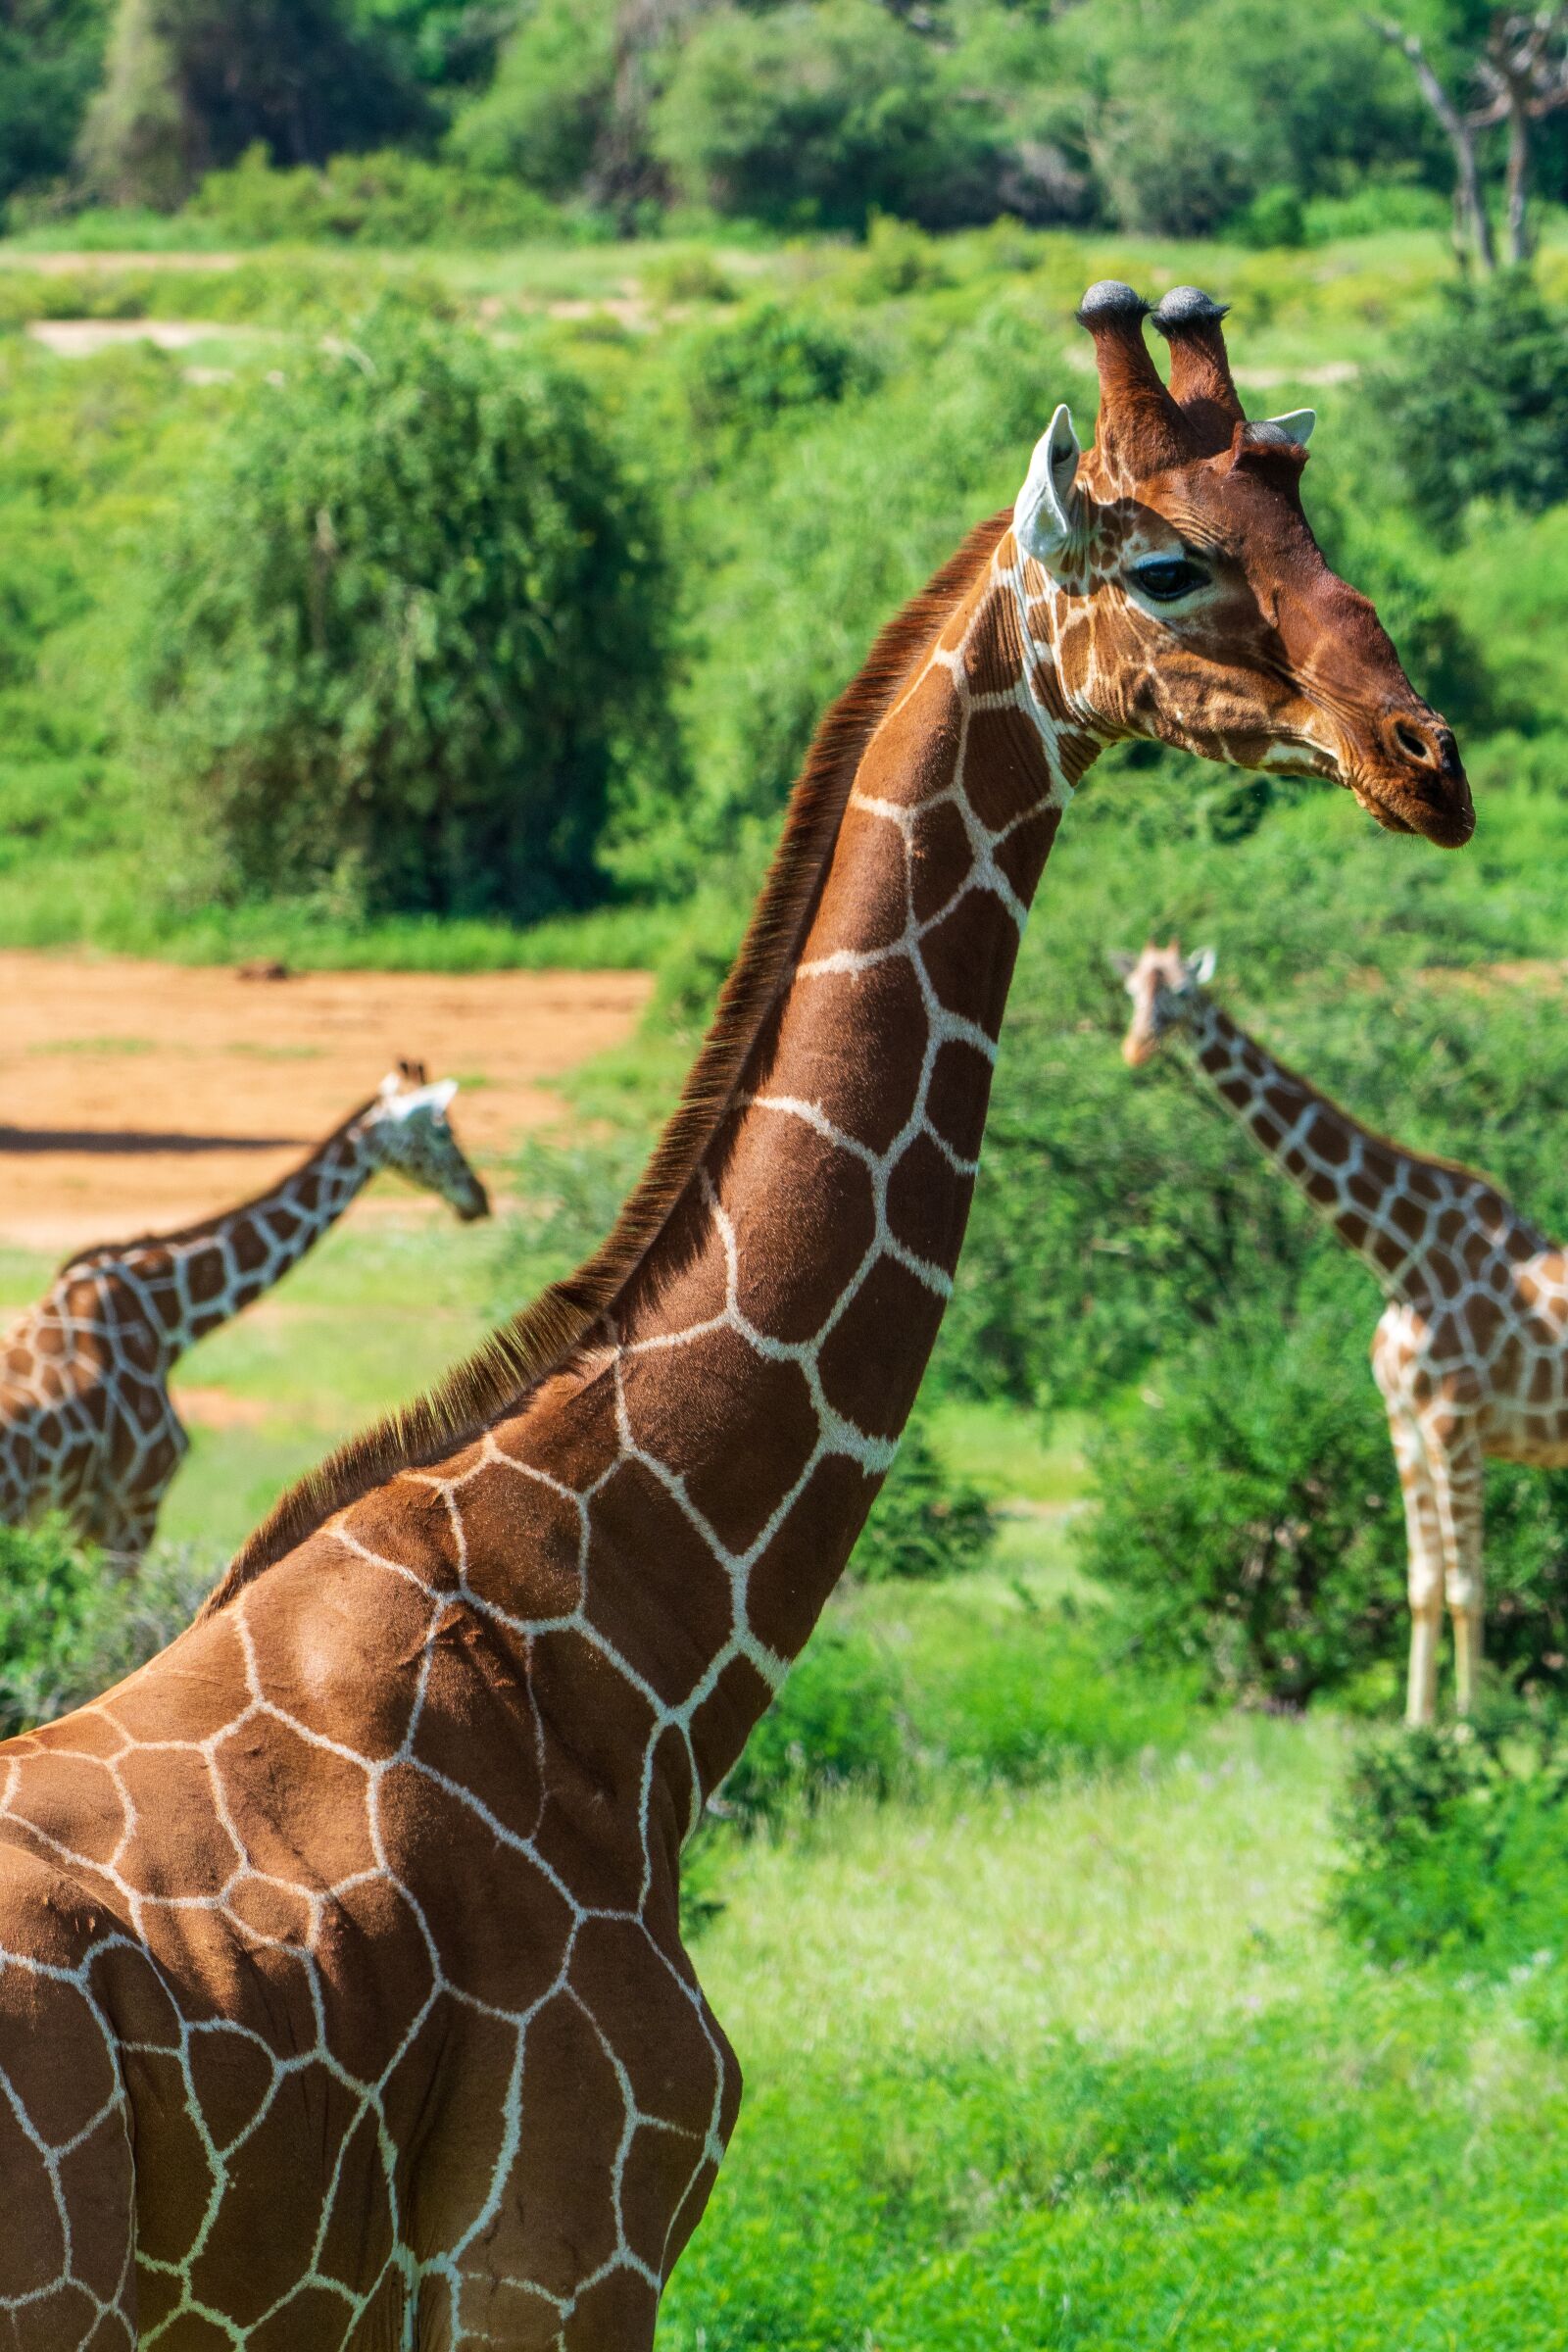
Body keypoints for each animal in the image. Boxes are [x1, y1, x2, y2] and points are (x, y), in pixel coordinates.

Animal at [1115, 939, 1560, 1727]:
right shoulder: (1405, 1422)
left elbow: (1468, 1585)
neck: (1400, 1259)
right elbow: (1423, 1583)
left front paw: (1469, 1728)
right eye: (1133, 991)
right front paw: (1416, 1726)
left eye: (1183, 996)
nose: (1137, 1047)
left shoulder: (1456, 1422)